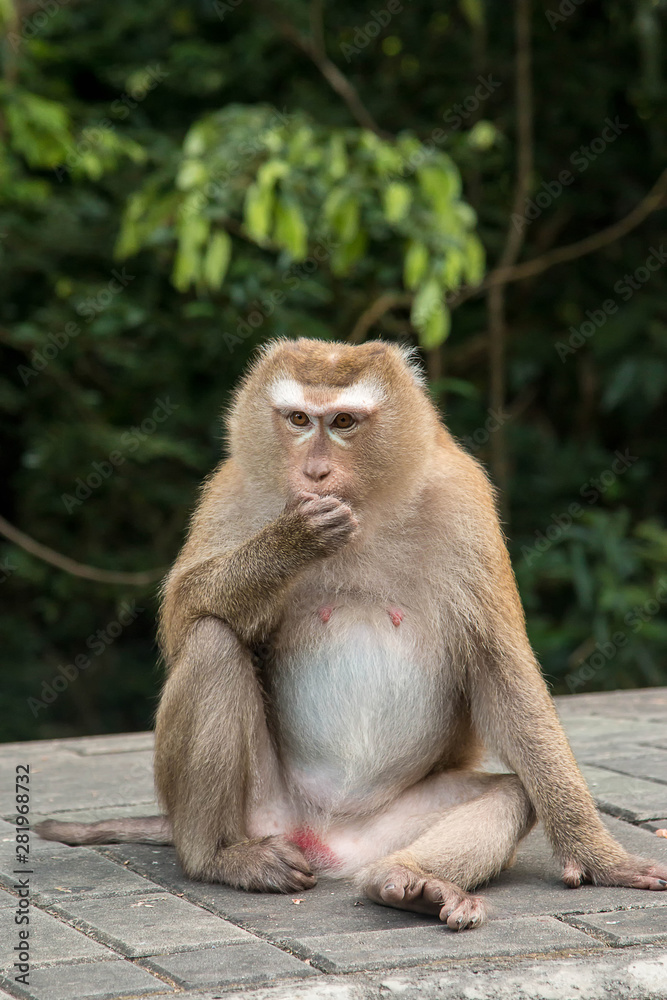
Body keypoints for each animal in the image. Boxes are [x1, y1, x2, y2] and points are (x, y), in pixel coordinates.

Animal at [35, 338, 667, 928]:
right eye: (297, 419)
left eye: (342, 423)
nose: (315, 473)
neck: (370, 512)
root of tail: (322, 838)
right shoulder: (234, 489)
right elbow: (182, 613)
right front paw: (291, 541)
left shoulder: (464, 501)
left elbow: (501, 674)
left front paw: (597, 854)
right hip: (263, 812)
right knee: (213, 641)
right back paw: (220, 857)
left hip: (384, 829)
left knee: (509, 793)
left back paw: (409, 881)